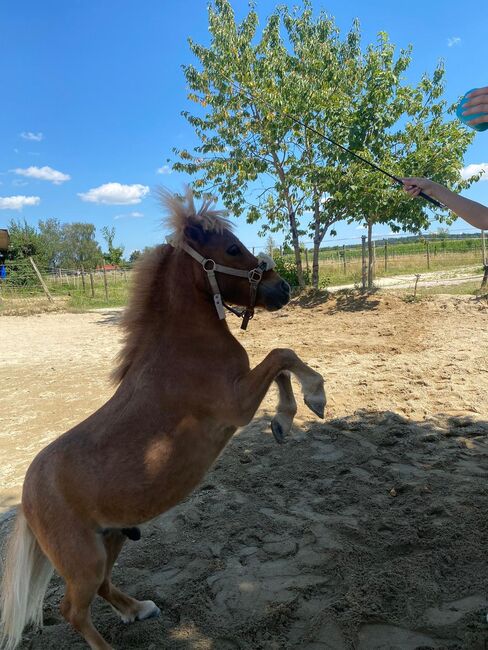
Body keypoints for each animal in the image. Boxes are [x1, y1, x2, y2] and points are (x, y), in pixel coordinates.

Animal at [0, 187, 328, 648]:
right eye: (232, 248)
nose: (282, 288)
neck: (183, 348)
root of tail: (26, 500)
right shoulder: (236, 405)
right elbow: (283, 355)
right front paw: (313, 397)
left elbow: (281, 364)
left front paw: (284, 421)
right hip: (85, 559)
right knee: (73, 610)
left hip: (112, 540)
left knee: (103, 588)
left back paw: (139, 609)